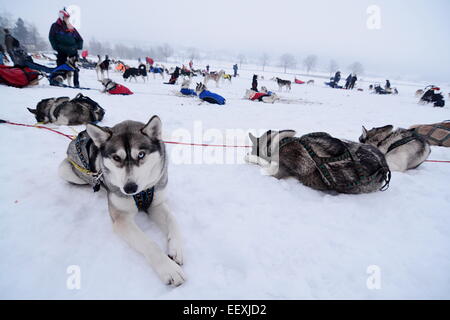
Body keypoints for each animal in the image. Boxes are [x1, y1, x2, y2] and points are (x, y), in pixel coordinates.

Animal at [59, 117, 185, 284]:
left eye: (141, 155)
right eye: (116, 158)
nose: (129, 188)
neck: (142, 191)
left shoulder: (156, 203)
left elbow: (173, 220)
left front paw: (176, 248)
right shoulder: (121, 219)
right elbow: (149, 243)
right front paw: (169, 269)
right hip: (65, 170)